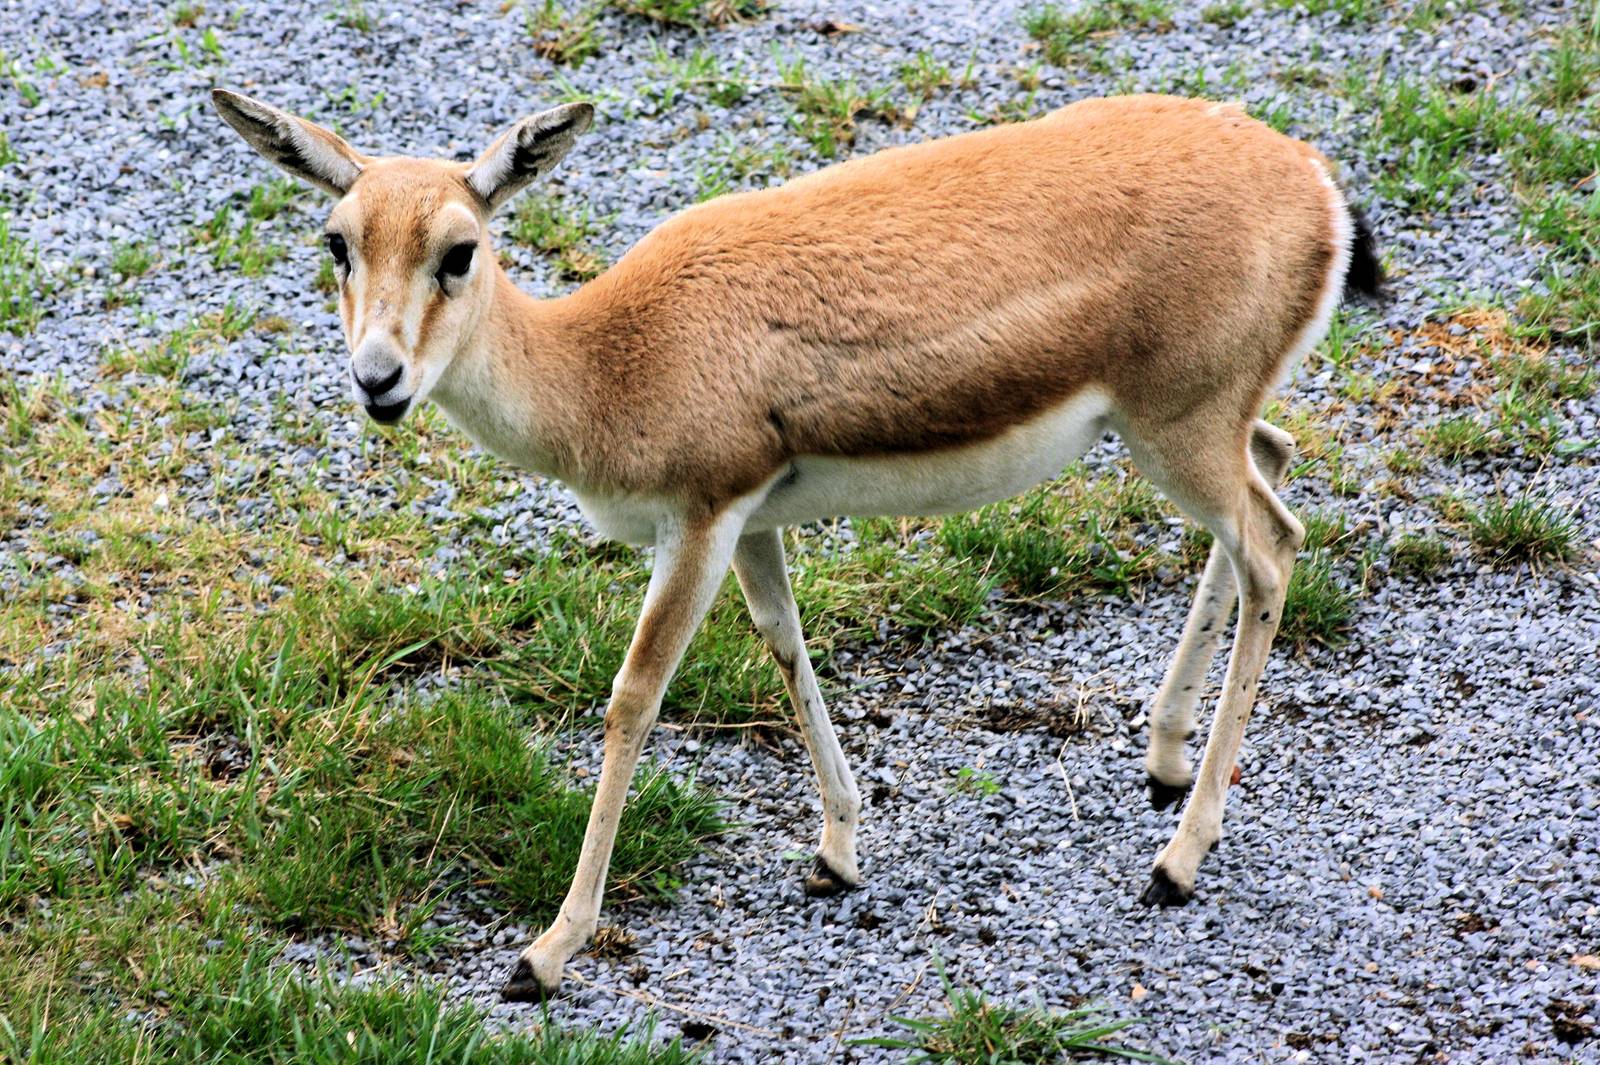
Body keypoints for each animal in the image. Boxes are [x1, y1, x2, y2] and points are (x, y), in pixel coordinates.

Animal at [212, 87, 1382, 1001]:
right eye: (338, 239)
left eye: (459, 250)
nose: (379, 381)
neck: (609, 362)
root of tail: (1313, 181)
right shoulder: (754, 522)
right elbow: (784, 643)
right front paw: (837, 853)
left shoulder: (698, 517)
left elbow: (634, 696)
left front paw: (546, 952)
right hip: (1187, 431)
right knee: (1273, 468)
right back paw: (1163, 757)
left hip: (1178, 430)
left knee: (1275, 543)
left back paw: (1176, 861)